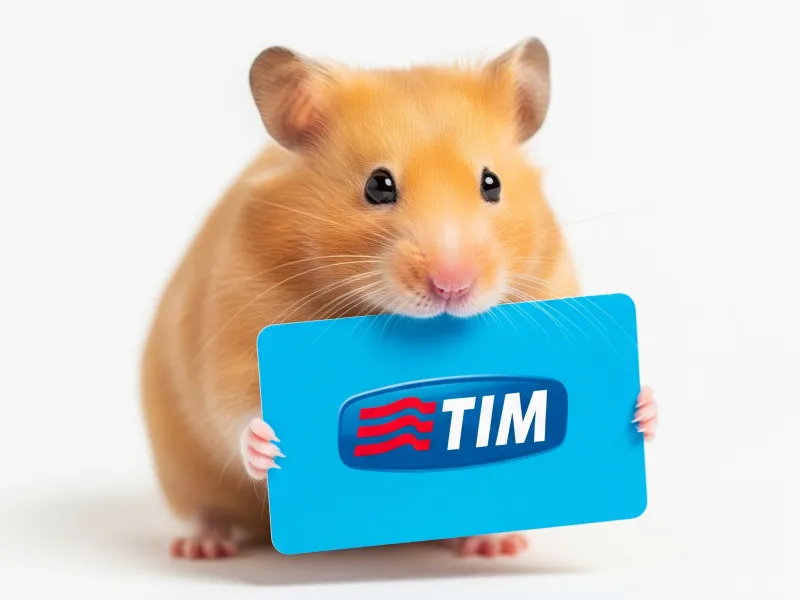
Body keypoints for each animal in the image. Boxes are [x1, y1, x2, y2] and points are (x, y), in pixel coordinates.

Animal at [140, 38, 658, 560]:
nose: (452, 286)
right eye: (378, 185)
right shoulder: (235, 332)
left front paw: (643, 408)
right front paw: (270, 444)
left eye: (491, 183)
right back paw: (202, 546)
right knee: (207, 508)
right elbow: (237, 413)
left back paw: (494, 544)